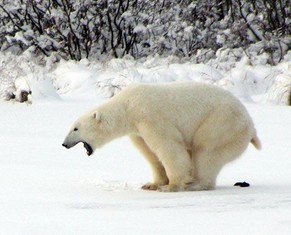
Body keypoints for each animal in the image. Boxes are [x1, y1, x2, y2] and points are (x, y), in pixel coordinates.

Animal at [62, 81, 262, 192]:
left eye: (75, 129)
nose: (64, 144)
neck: (128, 106)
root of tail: (251, 126)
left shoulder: (150, 116)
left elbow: (168, 146)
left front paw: (171, 186)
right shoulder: (137, 130)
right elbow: (150, 153)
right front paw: (151, 184)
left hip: (221, 123)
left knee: (206, 152)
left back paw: (196, 183)